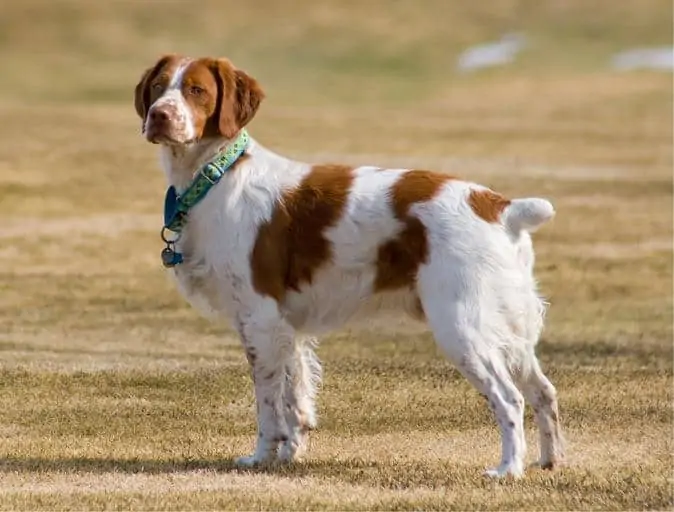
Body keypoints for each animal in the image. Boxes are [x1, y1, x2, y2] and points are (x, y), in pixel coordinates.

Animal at [133, 53, 560, 476]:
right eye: (158, 86)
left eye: (196, 90)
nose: (159, 115)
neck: (217, 176)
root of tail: (500, 206)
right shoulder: (287, 327)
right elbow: (295, 397)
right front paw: (290, 455)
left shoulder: (260, 318)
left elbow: (269, 404)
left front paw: (260, 457)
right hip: (508, 328)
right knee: (543, 391)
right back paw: (548, 461)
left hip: (462, 326)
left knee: (510, 398)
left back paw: (508, 468)